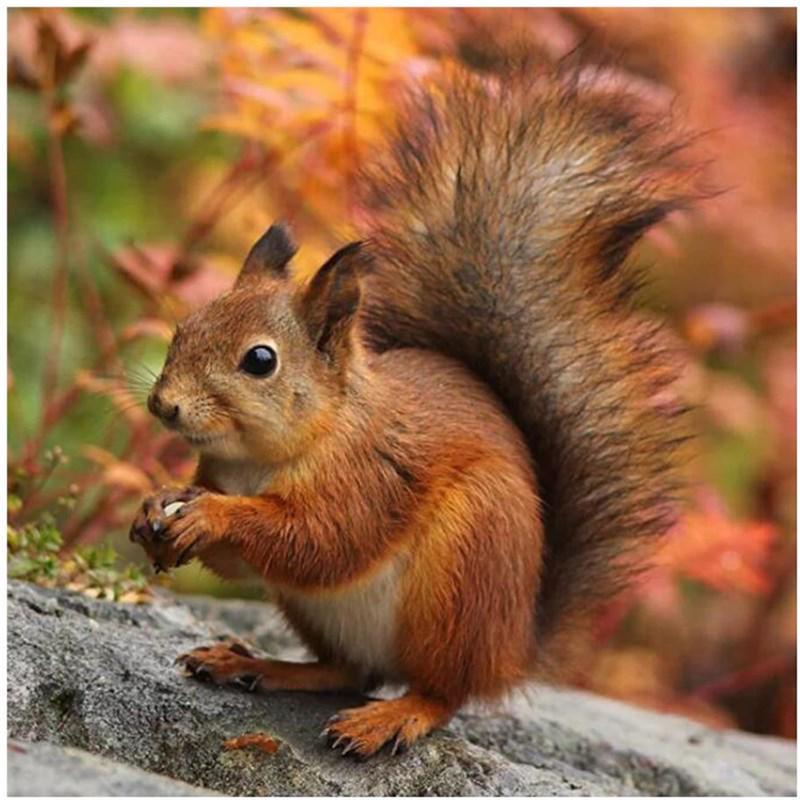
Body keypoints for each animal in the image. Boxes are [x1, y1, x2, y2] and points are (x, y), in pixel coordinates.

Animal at [130, 55, 697, 759]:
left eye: (260, 360)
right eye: (185, 326)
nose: (163, 405)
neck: (264, 458)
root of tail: (511, 650)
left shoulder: (371, 477)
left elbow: (321, 541)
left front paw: (211, 514)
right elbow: (245, 559)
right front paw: (159, 502)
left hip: (461, 576)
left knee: (440, 691)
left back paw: (390, 718)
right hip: (320, 611)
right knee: (350, 670)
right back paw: (256, 664)